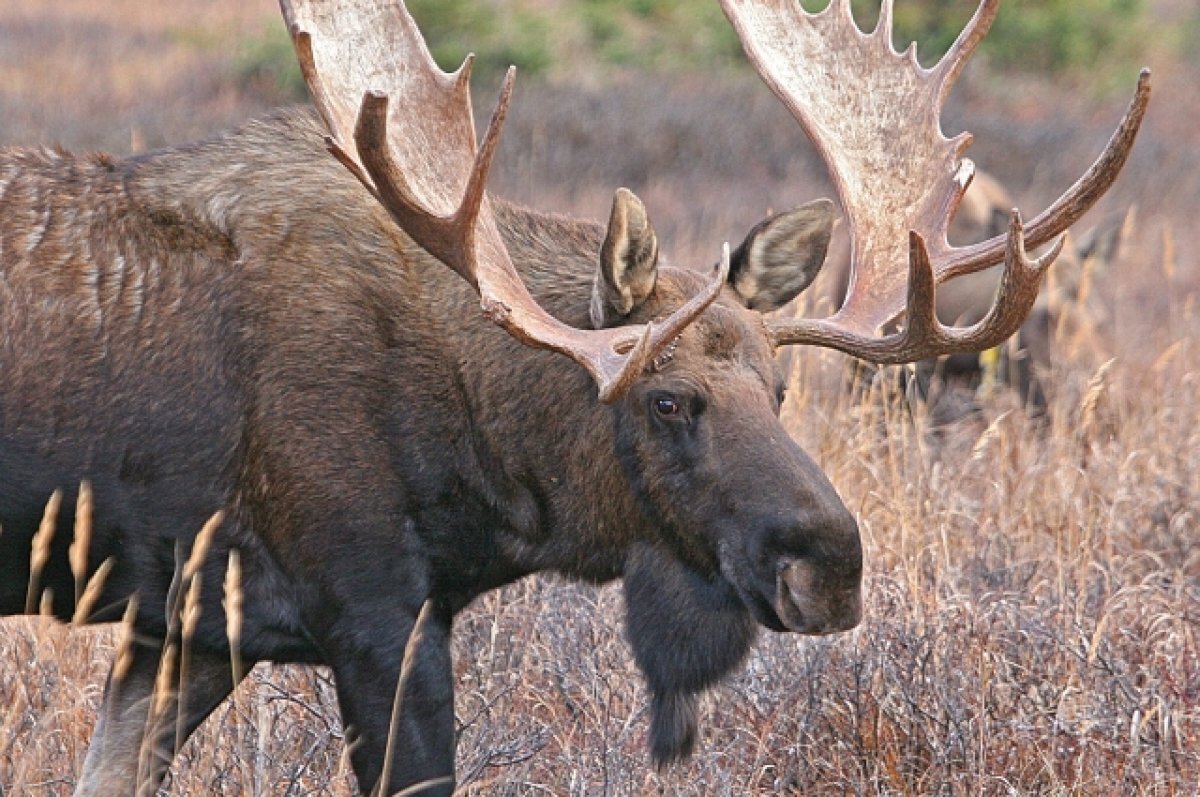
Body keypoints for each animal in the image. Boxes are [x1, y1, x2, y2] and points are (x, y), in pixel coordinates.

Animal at [0, 0, 1147, 792]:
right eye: (667, 400)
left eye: (781, 388)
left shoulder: (187, 625)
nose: (832, 563)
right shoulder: (372, 609)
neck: (488, 469)